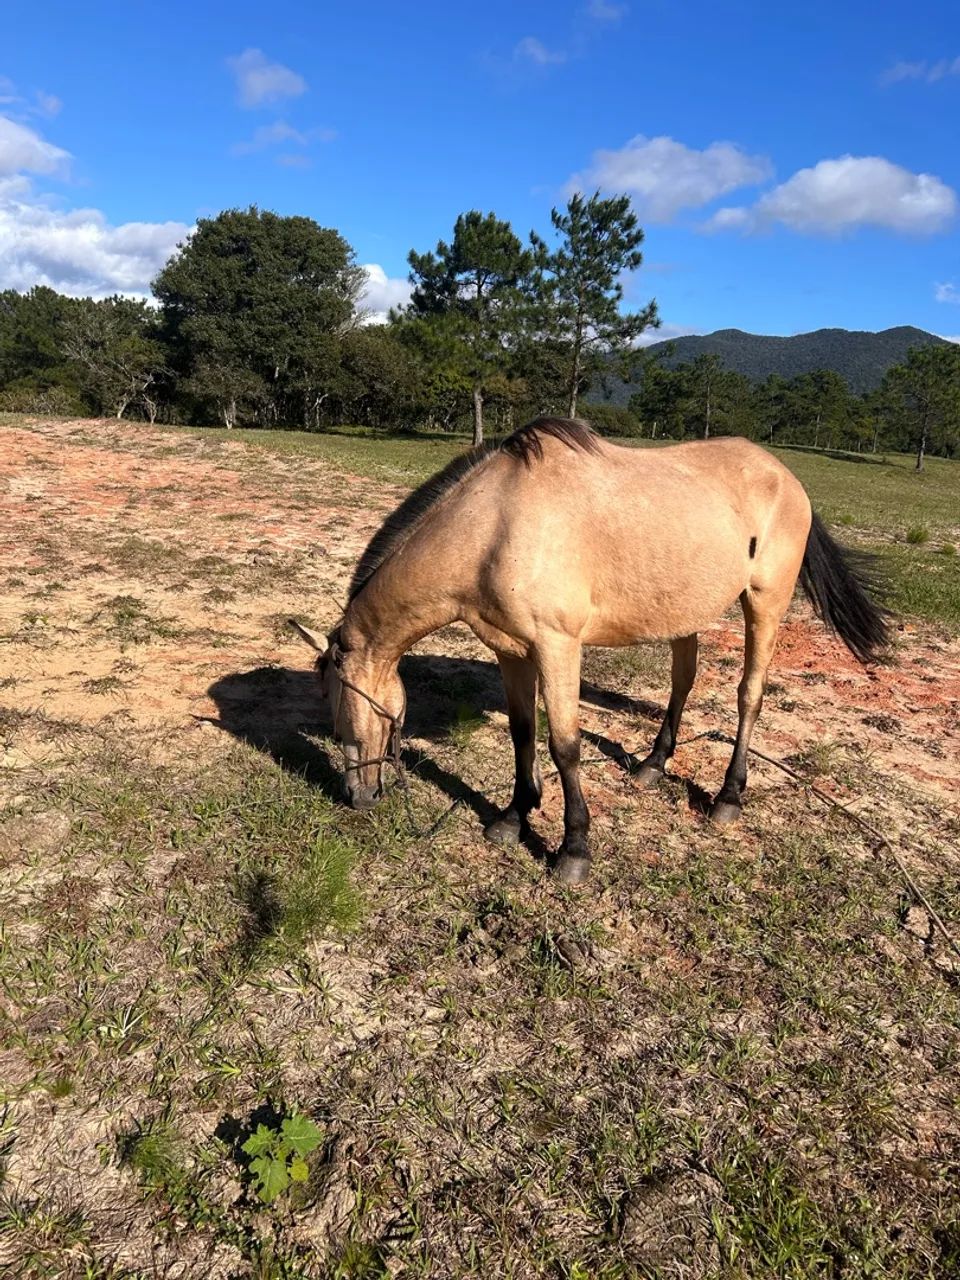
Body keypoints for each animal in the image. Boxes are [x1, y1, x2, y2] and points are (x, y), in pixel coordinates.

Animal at [292, 416, 889, 885]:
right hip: (682, 609)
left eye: (338, 721)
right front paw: (514, 815)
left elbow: (565, 746)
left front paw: (573, 849)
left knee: (749, 695)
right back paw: (652, 765)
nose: (357, 797)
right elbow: (523, 732)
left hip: (765, 603)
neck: (495, 526)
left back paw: (728, 797)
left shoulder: (558, 647)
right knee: (683, 682)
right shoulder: (512, 650)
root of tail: (786, 477)